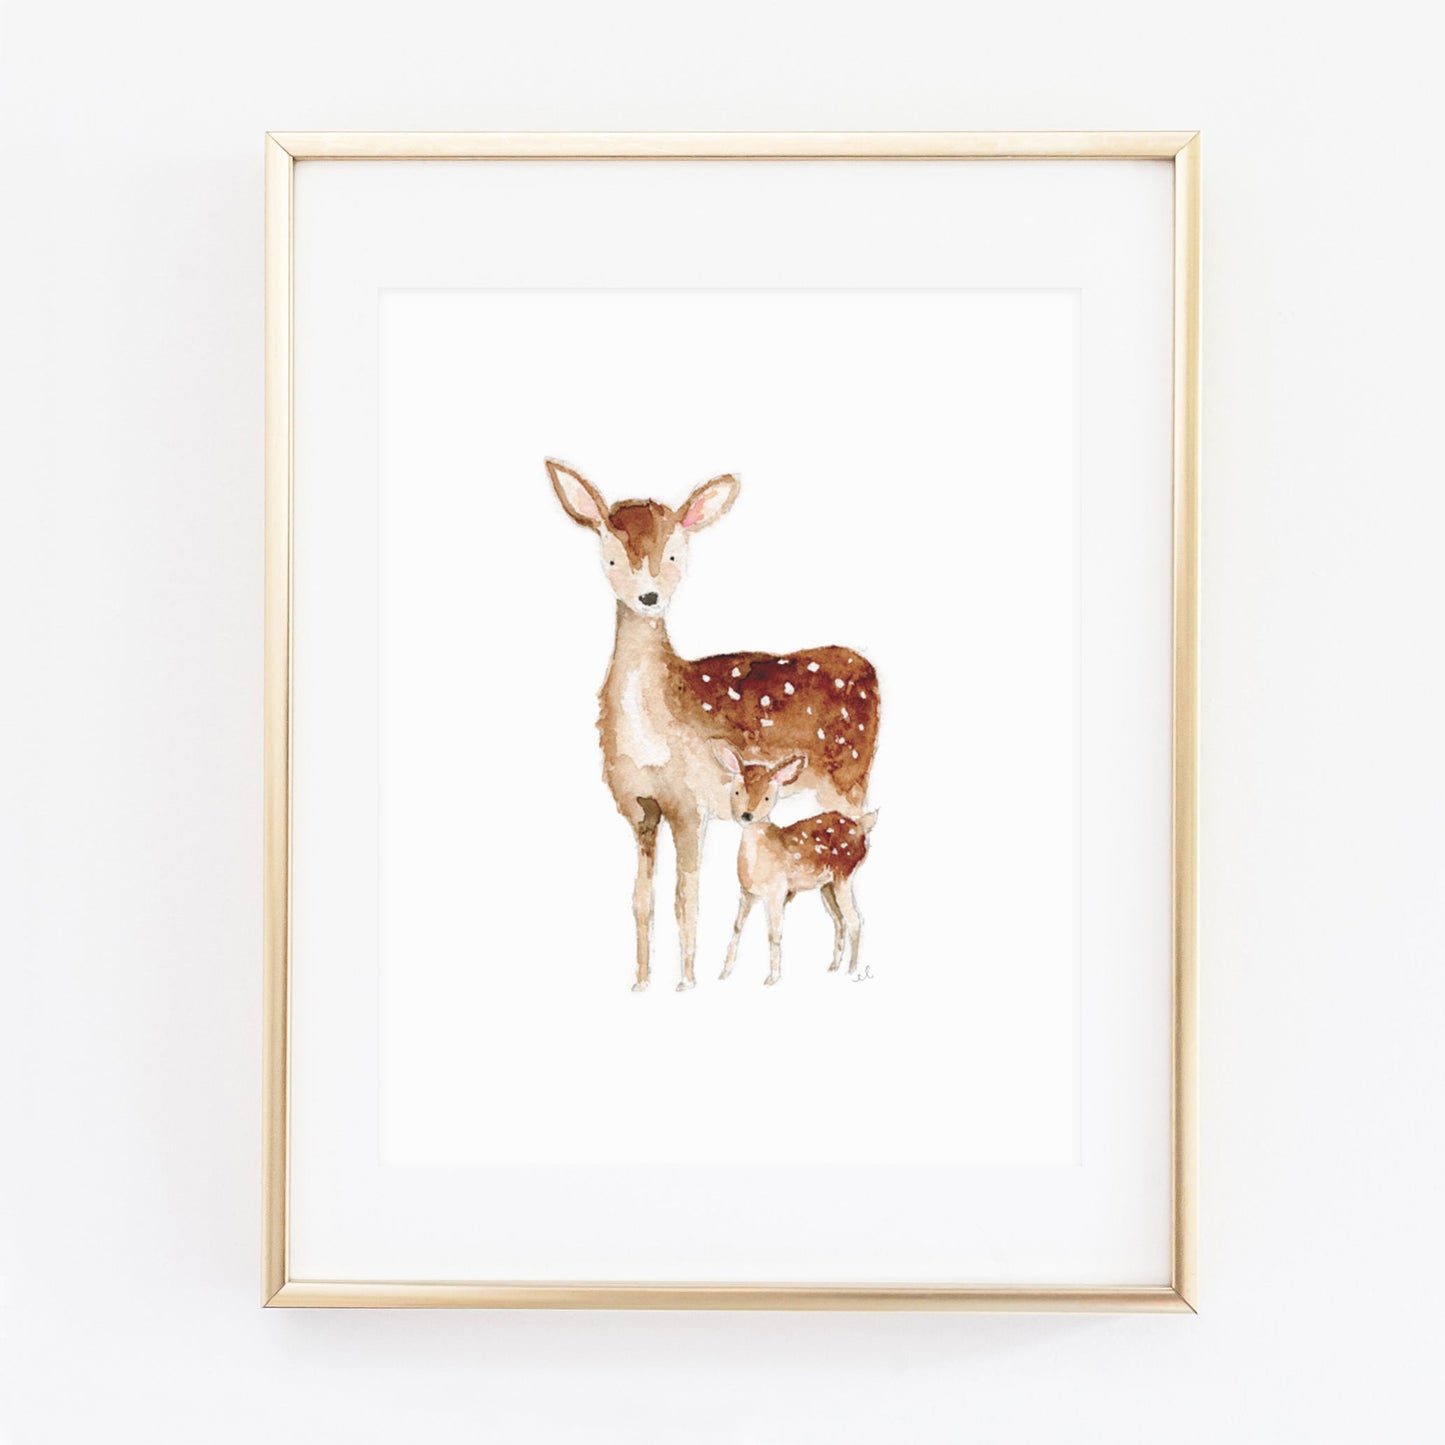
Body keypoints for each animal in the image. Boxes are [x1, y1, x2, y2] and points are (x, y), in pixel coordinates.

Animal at [711, 745, 878, 985]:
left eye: (767, 797)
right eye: (736, 792)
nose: (747, 815)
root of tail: (862, 825)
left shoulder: (777, 890)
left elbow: (774, 933)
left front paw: (772, 978)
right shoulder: (747, 892)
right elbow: (736, 927)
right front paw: (724, 974)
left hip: (844, 875)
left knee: (855, 920)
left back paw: (851, 970)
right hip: (827, 885)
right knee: (839, 920)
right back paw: (833, 967)